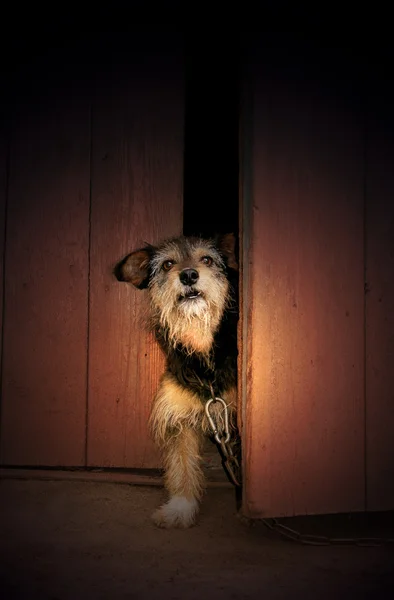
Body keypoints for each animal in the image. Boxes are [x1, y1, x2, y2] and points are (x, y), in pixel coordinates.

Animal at [115, 232, 239, 528]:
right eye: (168, 264)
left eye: (207, 259)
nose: (189, 275)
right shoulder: (178, 418)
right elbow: (181, 465)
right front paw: (181, 507)